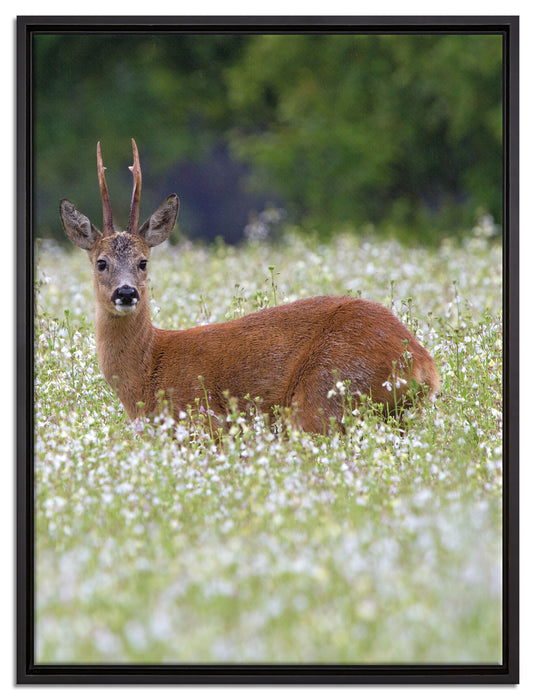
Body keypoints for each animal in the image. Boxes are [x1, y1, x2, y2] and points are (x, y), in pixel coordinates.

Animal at [59, 140, 440, 435]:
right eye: (101, 262)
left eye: (143, 262)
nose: (126, 293)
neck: (148, 371)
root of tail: (423, 364)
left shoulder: (201, 422)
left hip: (325, 396)